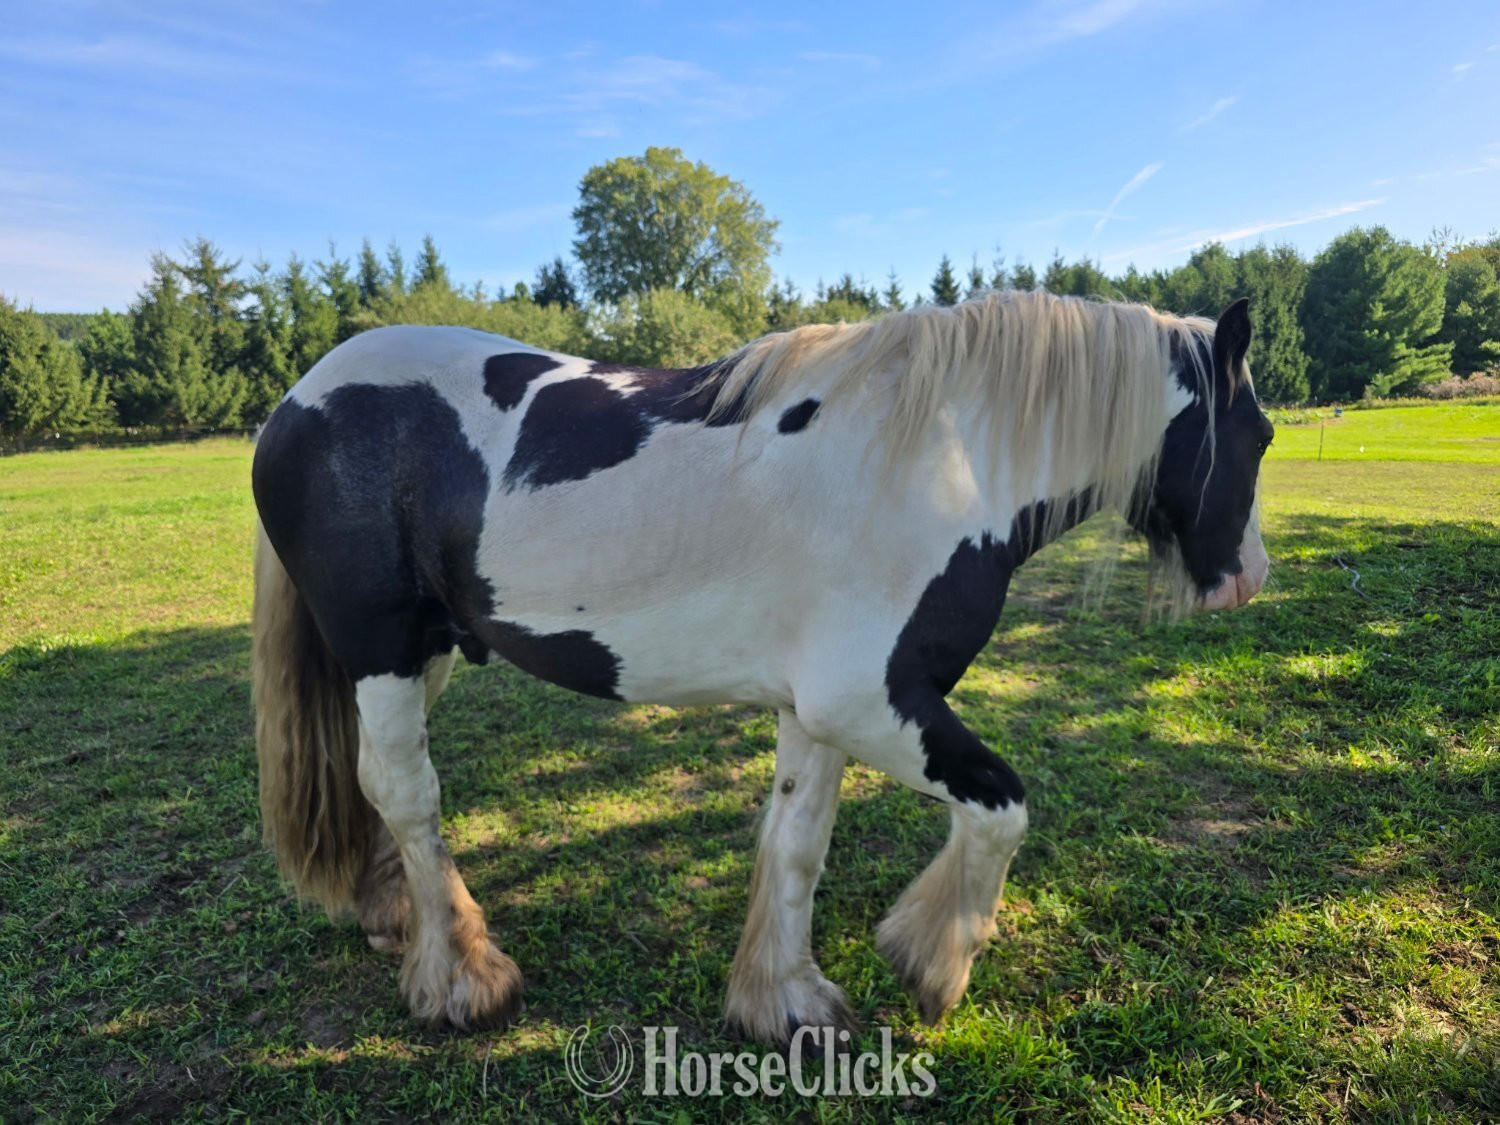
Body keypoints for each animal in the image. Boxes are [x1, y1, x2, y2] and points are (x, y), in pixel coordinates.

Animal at [250, 289, 1272, 1043]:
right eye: (1259, 435)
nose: (1247, 578)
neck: (942, 458)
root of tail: (297, 401)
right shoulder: (875, 703)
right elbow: (1002, 808)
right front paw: (931, 960)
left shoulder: (816, 712)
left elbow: (798, 841)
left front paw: (784, 1000)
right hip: (381, 648)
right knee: (406, 789)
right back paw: (462, 977)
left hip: (423, 651)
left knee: (380, 785)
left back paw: (398, 920)